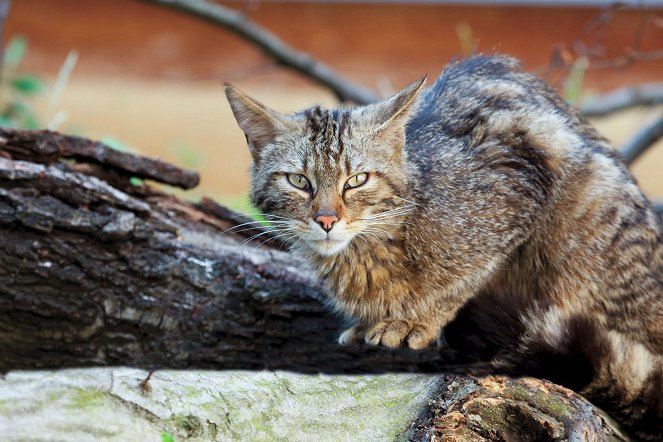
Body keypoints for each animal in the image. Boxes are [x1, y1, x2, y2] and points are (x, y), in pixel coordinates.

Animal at [224, 55, 663, 438]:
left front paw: (416, 322)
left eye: (357, 180)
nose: (327, 220)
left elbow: (465, 280)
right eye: (299, 181)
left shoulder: (518, 180)